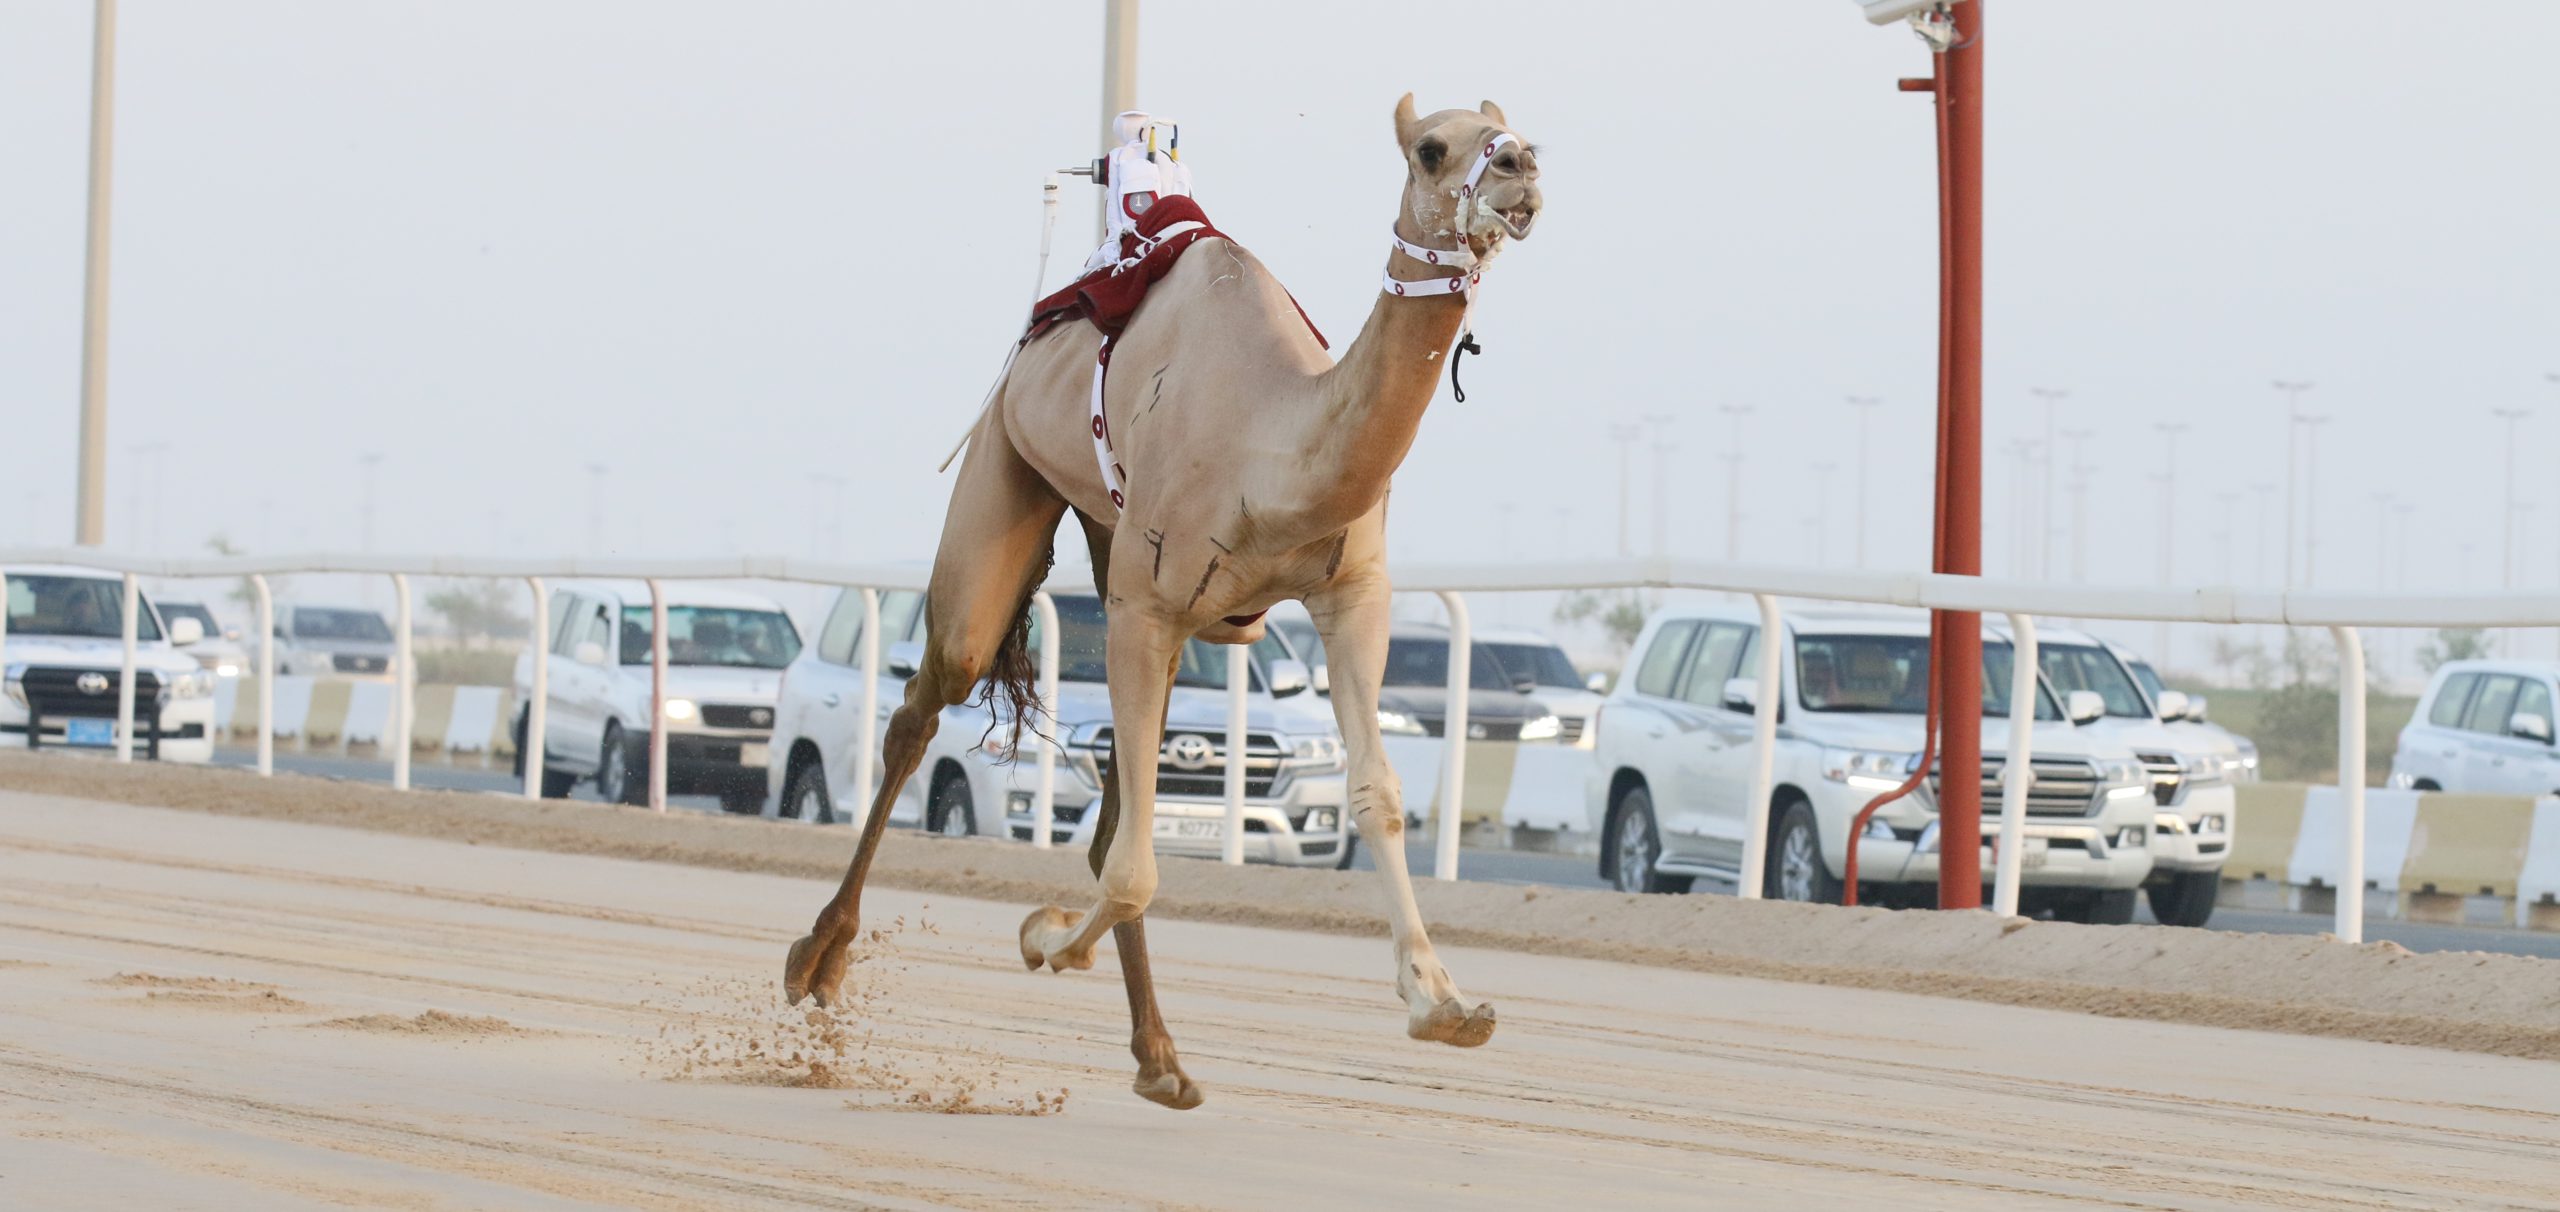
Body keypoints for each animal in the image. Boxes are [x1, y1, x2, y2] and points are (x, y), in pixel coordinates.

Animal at [778, 99, 1536, 1112]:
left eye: (1515, 129)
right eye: (1431, 148)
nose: (1520, 167)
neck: (1271, 446)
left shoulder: (1350, 596)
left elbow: (1374, 793)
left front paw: (1443, 1002)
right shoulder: (1146, 605)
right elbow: (1134, 869)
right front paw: (1044, 936)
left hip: (1123, 561)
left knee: (1113, 802)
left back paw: (1159, 1056)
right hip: (1007, 468)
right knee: (931, 700)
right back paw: (818, 960)